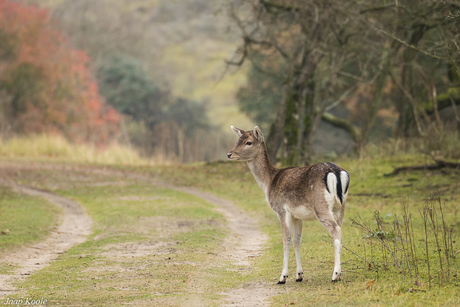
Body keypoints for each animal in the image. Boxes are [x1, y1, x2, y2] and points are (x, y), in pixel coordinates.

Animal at [228, 125, 350, 284]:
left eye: (248, 142)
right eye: (238, 140)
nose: (230, 154)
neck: (269, 182)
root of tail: (335, 172)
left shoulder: (281, 209)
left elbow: (286, 240)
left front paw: (282, 277)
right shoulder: (297, 215)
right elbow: (297, 240)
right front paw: (299, 275)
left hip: (321, 207)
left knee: (336, 231)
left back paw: (335, 275)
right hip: (340, 207)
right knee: (340, 230)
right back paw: (338, 274)